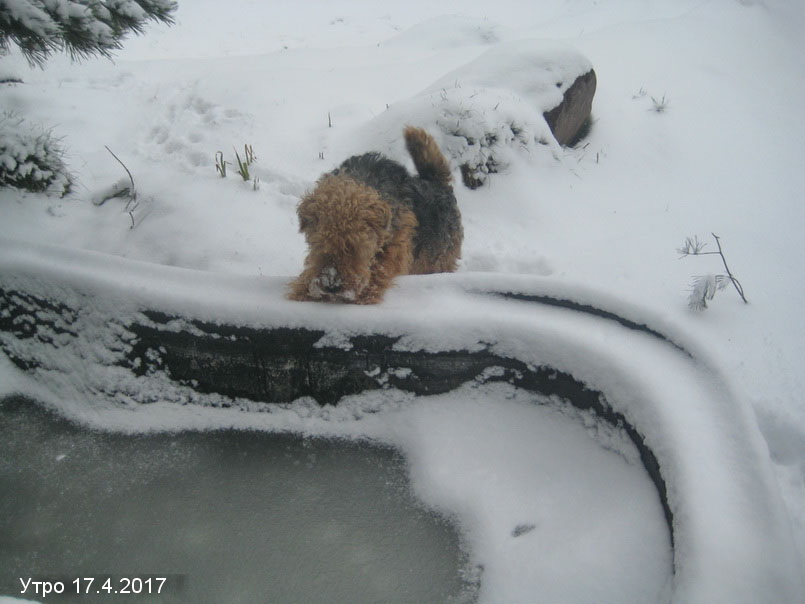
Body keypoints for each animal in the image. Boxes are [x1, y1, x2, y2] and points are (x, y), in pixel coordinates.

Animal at [288, 126, 462, 304]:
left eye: (354, 246)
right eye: (319, 243)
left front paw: (367, 294)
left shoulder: (398, 242)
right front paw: (302, 290)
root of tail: (438, 184)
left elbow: (382, 266)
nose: (331, 286)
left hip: (437, 260)